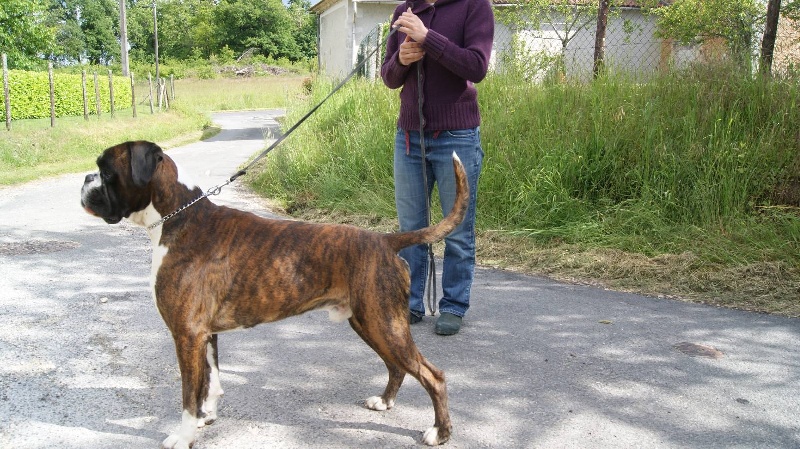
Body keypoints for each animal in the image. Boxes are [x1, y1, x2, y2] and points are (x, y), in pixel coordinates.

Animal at [80, 142, 466, 446]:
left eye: (105, 171)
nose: (84, 179)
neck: (178, 217)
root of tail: (385, 240)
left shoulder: (186, 335)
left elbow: (189, 395)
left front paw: (184, 435)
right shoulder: (204, 335)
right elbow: (210, 382)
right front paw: (207, 418)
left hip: (384, 324)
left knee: (433, 376)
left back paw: (440, 433)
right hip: (371, 324)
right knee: (396, 366)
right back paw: (385, 403)